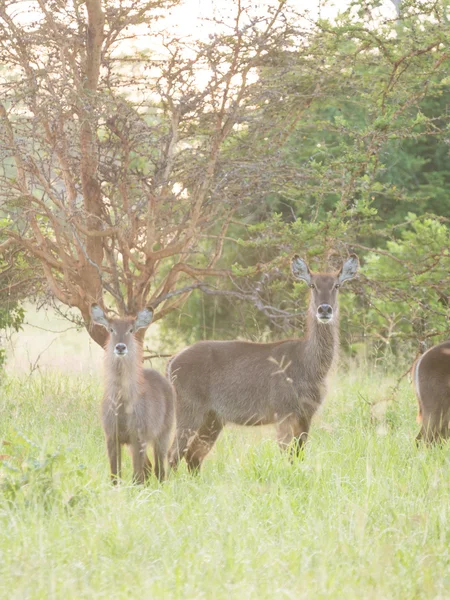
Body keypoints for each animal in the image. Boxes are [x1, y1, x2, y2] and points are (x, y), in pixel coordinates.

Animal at [90, 304, 175, 482]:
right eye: (111, 329)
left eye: (131, 329)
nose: (121, 347)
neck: (122, 404)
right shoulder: (112, 437)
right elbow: (115, 475)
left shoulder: (138, 437)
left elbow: (137, 477)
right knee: (149, 469)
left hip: (163, 434)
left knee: (159, 469)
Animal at [167, 253, 360, 474]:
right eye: (312, 285)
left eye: (337, 285)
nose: (325, 309)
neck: (309, 365)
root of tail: (172, 361)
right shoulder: (283, 412)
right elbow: (287, 455)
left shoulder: (306, 415)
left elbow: (299, 455)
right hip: (189, 410)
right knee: (173, 454)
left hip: (213, 418)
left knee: (193, 456)